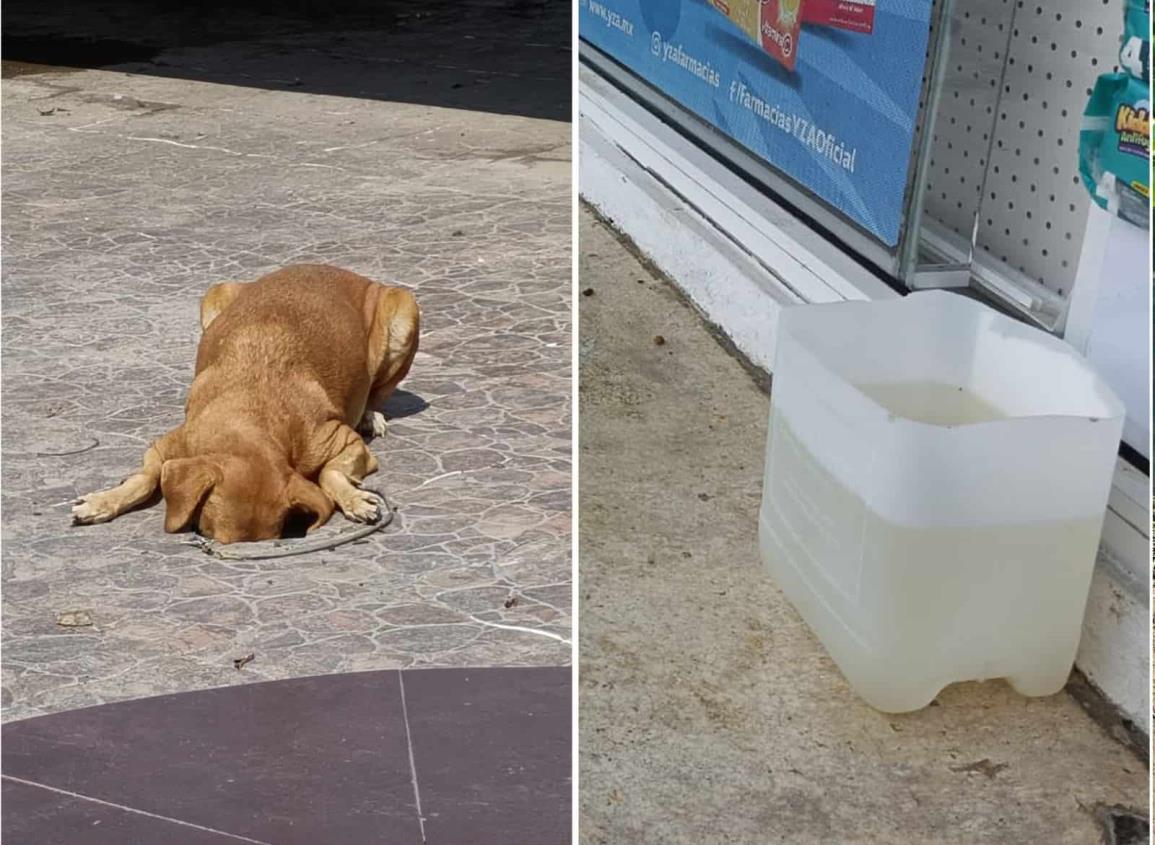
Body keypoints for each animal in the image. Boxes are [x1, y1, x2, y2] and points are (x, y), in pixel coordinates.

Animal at [69, 262, 420, 540]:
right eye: (204, 528)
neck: (248, 422)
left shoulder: (342, 442)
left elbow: (329, 473)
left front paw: (353, 498)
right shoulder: (166, 446)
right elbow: (144, 478)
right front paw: (103, 501)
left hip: (404, 308)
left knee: (378, 391)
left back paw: (370, 415)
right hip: (215, 296)